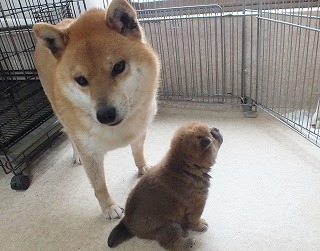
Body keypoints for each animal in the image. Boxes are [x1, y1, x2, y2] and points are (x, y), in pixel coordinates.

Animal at [32, 0, 160, 219]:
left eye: (118, 67)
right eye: (81, 80)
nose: (105, 115)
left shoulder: (139, 133)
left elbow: (138, 153)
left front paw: (143, 168)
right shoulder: (90, 154)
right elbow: (99, 186)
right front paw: (109, 207)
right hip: (59, 112)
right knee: (69, 136)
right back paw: (75, 155)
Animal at [107, 121, 222, 249]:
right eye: (212, 135)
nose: (216, 129)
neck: (184, 167)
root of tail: (128, 224)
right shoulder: (197, 204)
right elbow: (194, 219)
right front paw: (200, 224)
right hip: (170, 226)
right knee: (171, 243)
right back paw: (188, 243)